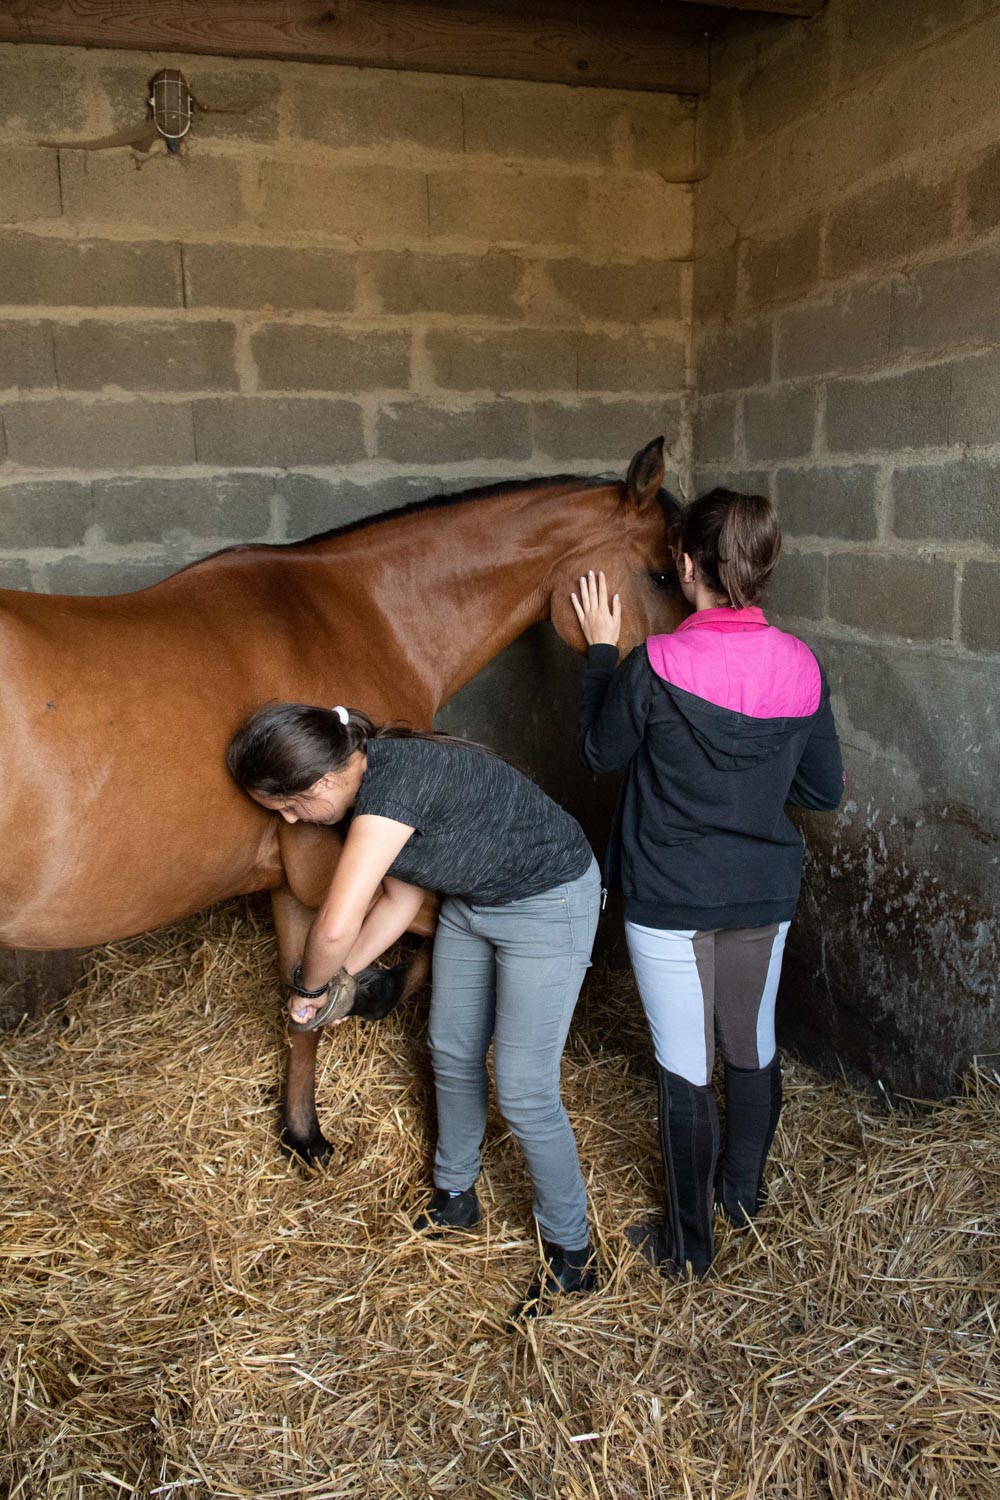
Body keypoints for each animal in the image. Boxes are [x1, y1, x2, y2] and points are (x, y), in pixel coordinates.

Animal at [0, 435, 689, 1158]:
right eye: (661, 575)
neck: (357, 616)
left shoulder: (295, 880)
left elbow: (300, 999)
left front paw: (303, 1133)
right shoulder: (335, 863)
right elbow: (428, 930)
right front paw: (375, 992)